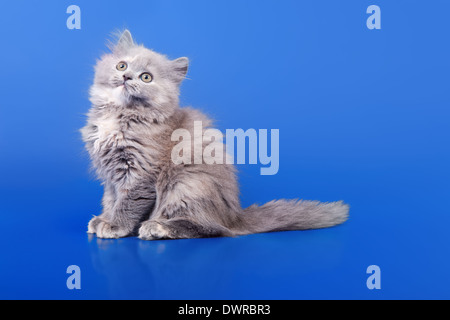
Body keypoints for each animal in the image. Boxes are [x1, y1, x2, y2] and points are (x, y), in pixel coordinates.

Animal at [81, 30, 348, 240]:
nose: (126, 77)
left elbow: (128, 202)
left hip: (187, 182)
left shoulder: (140, 172)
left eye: (146, 77)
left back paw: (157, 227)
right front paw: (103, 219)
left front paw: (115, 226)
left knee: (211, 228)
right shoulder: (109, 174)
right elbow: (111, 199)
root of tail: (234, 216)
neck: (121, 114)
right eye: (122, 65)